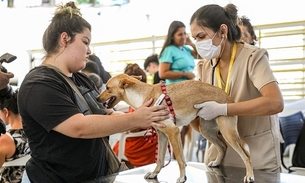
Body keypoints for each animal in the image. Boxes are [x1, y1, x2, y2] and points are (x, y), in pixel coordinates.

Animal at [96, 73, 253, 182]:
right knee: (222, 146)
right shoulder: (162, 135)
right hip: (206, 130)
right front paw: (154, 173)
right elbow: (160, 159)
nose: (97, 98)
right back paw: (216, 163)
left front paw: (182, 177)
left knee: (245, 155)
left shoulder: (173, 132)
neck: (145, 95)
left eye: (107, 88)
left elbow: (179, 159)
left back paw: (250, 175)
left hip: (228, 132)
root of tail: (229, 98)